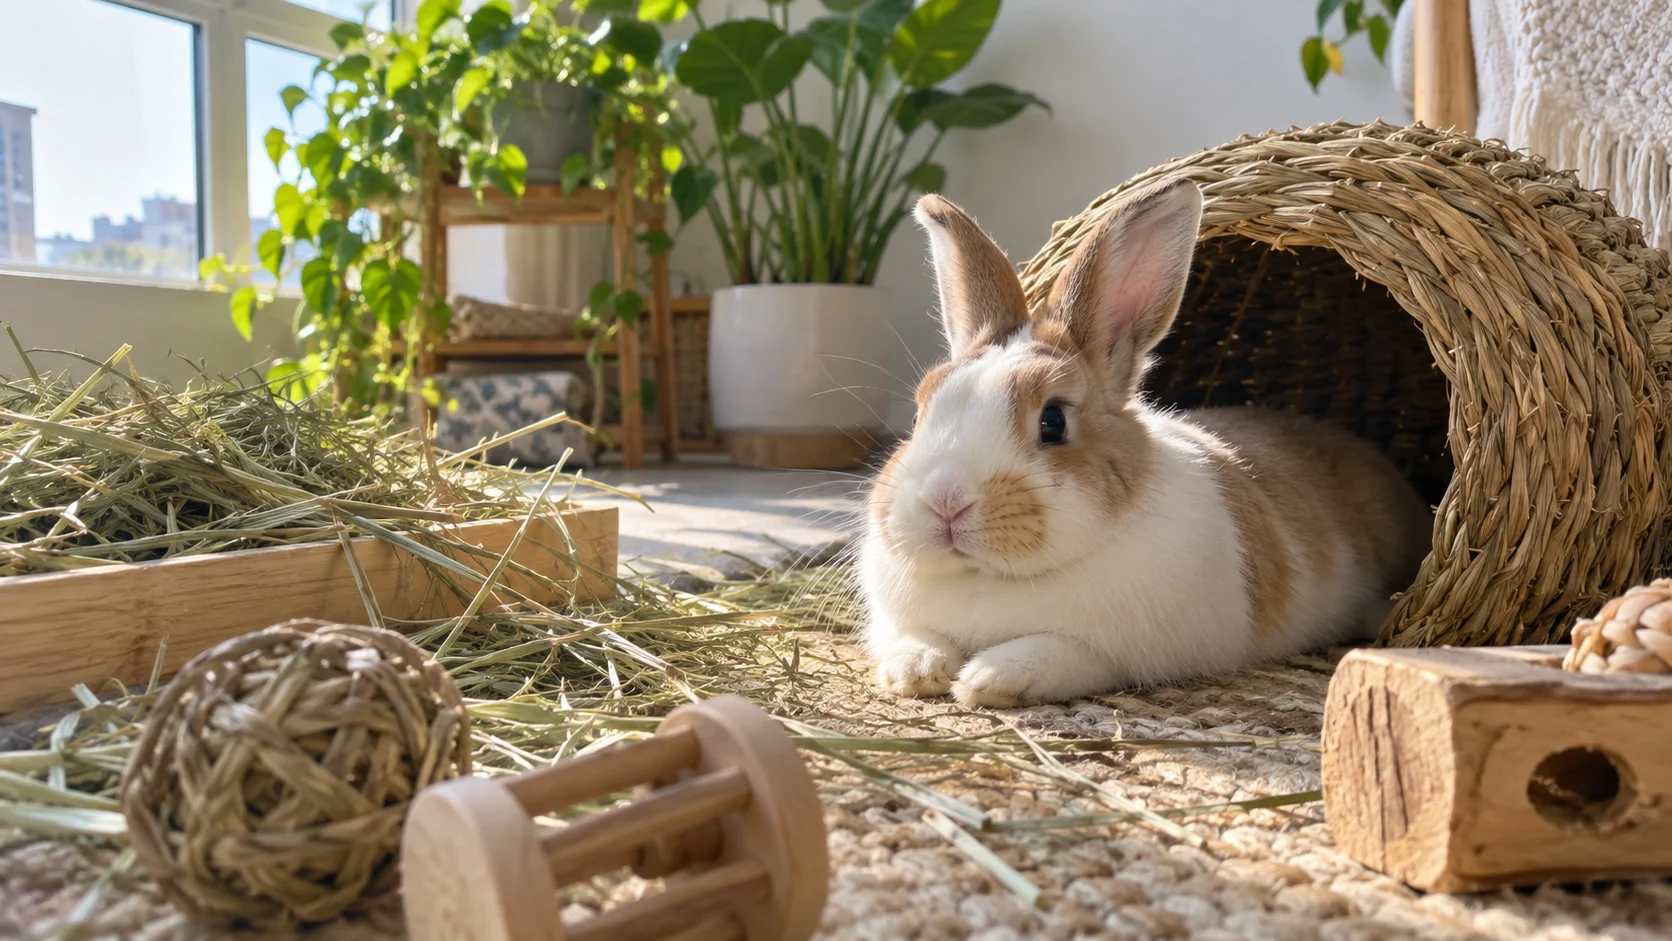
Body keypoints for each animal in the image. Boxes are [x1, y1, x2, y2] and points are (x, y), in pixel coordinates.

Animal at [859, 179, 1433, 708]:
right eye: (921, 411)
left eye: (1053, 422)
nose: (945, 502)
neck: (988, 578)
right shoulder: (895, 619)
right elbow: (911, 638)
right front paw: (915, 672)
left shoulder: (1121, 650)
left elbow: (1062, 652)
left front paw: (988, 679)